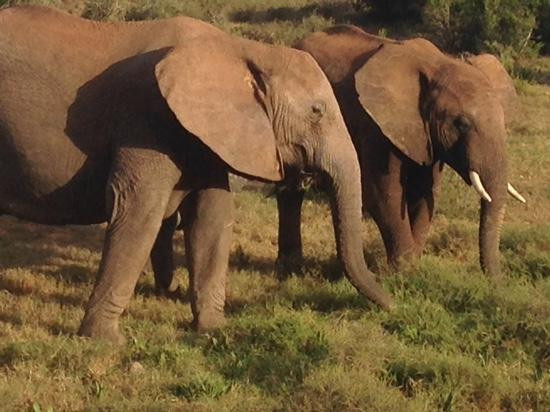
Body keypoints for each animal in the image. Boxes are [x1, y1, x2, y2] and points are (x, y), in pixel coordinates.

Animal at [2, 8, 394, 344]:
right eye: (316, 111)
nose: (392, 303)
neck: (243, 50)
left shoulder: (206, 133)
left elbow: (212, 219)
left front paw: (212, 329)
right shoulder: (146, 120)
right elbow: (138, 214)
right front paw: (106, 341)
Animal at [276, 25, 528, 276]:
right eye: (461, 124)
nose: (497, 280)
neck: (437, 65)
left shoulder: (425, 134)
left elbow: (425, 191)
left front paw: (413, 265)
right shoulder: (375, 125)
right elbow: (384, 191)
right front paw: (404, 270)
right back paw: (290, 267)